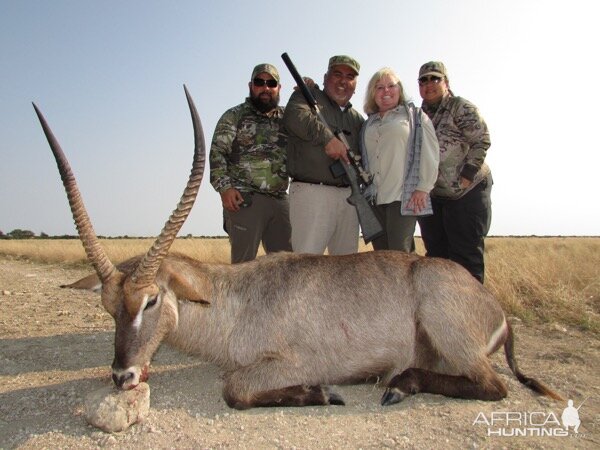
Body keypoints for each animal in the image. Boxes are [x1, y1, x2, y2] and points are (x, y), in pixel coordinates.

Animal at [34, 87, 564, 408]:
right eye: (108, 307)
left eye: (150, 300)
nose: (122, 376)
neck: (235, 300)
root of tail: (496, 309)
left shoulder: (291, 362)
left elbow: (234, 388)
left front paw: (325, 393)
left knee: (493, 386)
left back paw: (395, 384)